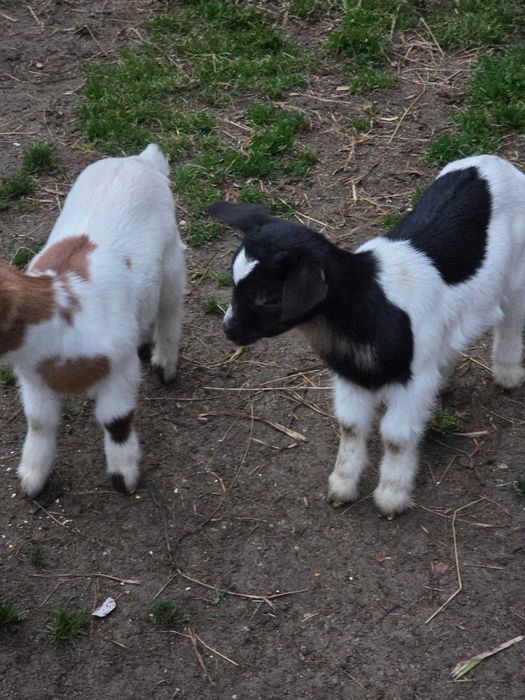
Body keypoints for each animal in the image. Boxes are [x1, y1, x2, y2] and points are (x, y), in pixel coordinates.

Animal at [1, 144, 185, 496]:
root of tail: (139, 160)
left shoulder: (121, 370)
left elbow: (116, 420)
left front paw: (124, 478)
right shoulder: (33, 378)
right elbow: (39, 422)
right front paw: (32, 479)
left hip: (172, 257)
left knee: (170, 310)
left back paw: (165, 365)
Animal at [209, 155, 525, 516]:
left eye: (270, 297)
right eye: (234, 282)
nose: (230, 330)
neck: (368, 305)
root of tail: (491, 161)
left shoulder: (410, 380)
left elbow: (396, 437)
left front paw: (391, 497)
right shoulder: (351, 372)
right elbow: (350, 426)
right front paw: (341, 486)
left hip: (517, 271)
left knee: (512, 318)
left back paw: (507, 374)